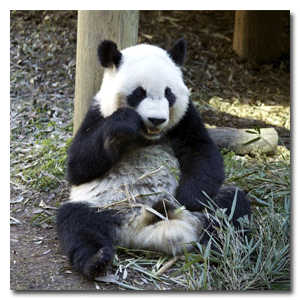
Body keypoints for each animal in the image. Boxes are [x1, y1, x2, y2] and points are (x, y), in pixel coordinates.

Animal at [56, 38, 251, 280]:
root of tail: (140, 231)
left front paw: (189, 197)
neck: (147, 136)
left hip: (204, 211)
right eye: (139, 93)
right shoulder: (97, 113)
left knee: (231, 207)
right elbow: (78, 166)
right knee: (77, 222)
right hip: (107, 207)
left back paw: (219, 248)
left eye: (169, 94)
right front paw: (123, 124)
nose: (156, 120)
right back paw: (97, 259)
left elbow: (203, 152)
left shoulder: (185, 119)